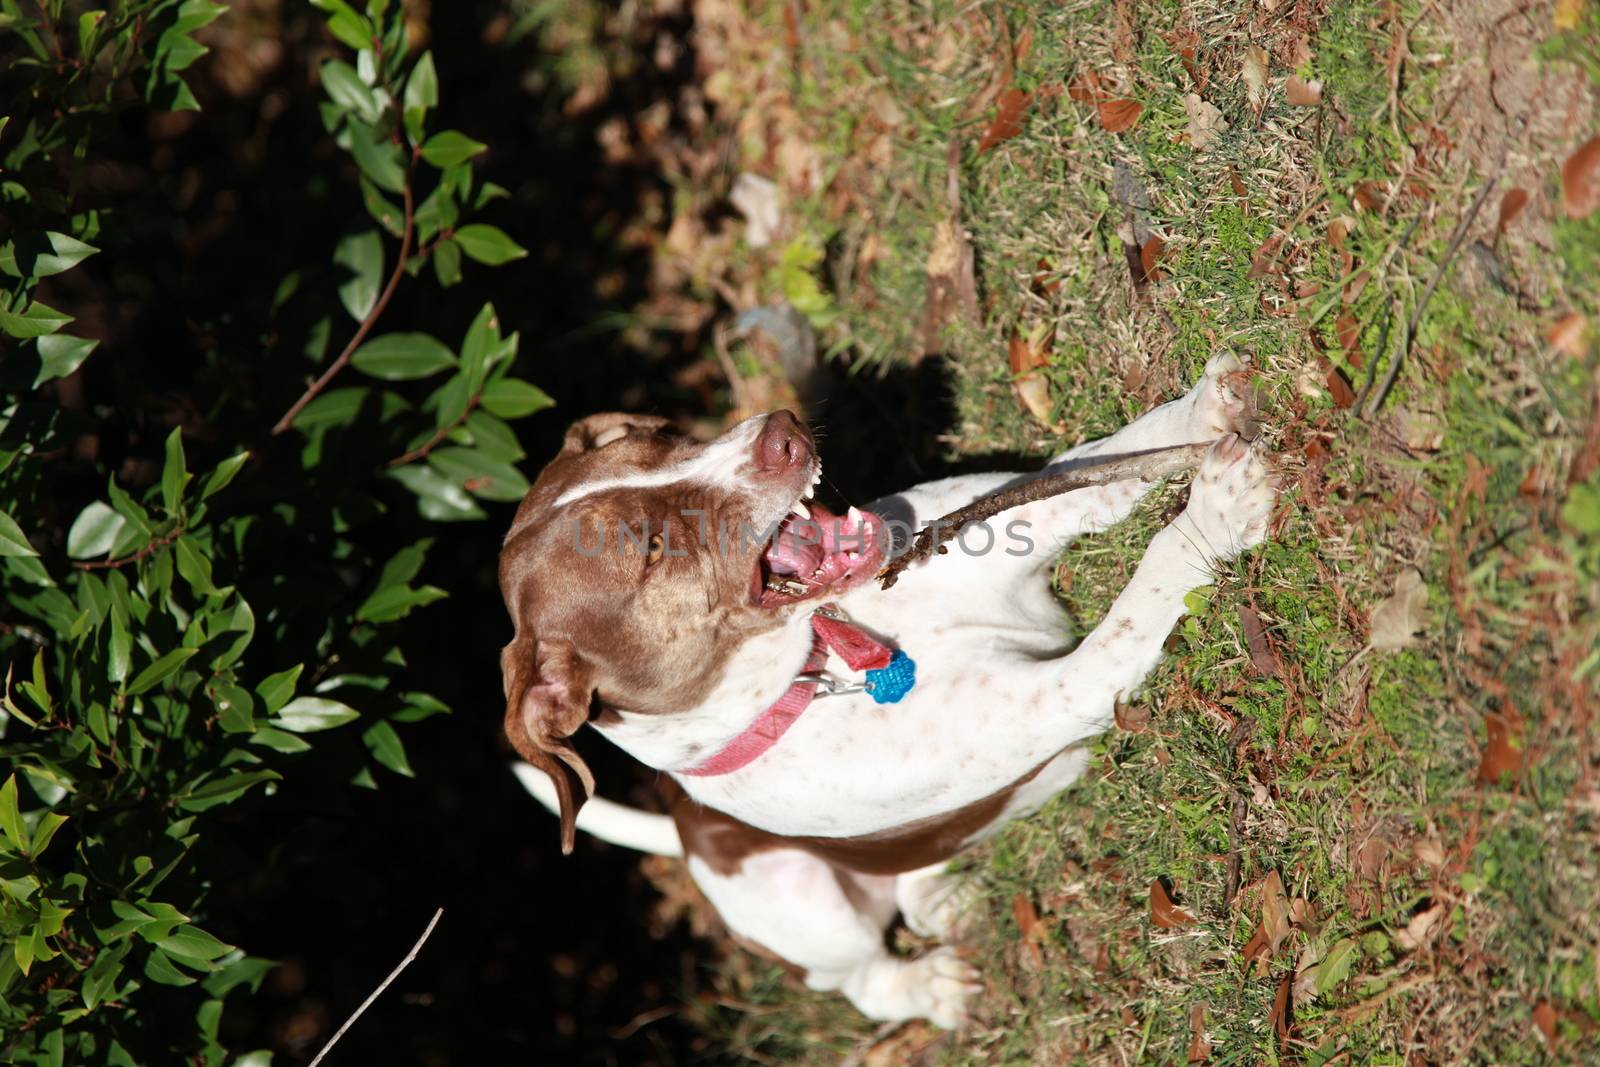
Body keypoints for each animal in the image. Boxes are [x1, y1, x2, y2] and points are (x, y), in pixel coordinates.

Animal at [499, 356, 1273, 1023]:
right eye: (651, 550)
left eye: (662, 436)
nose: (781, 431)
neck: (827, 657)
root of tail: (684, 838)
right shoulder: (1057, 695)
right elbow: (1143, 594)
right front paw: (1215, 511)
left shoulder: (991, 516)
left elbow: (1095, 463)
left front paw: (1201, 413)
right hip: (802, 905)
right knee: (862, 981)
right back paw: (932, 987)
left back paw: (950, 893)